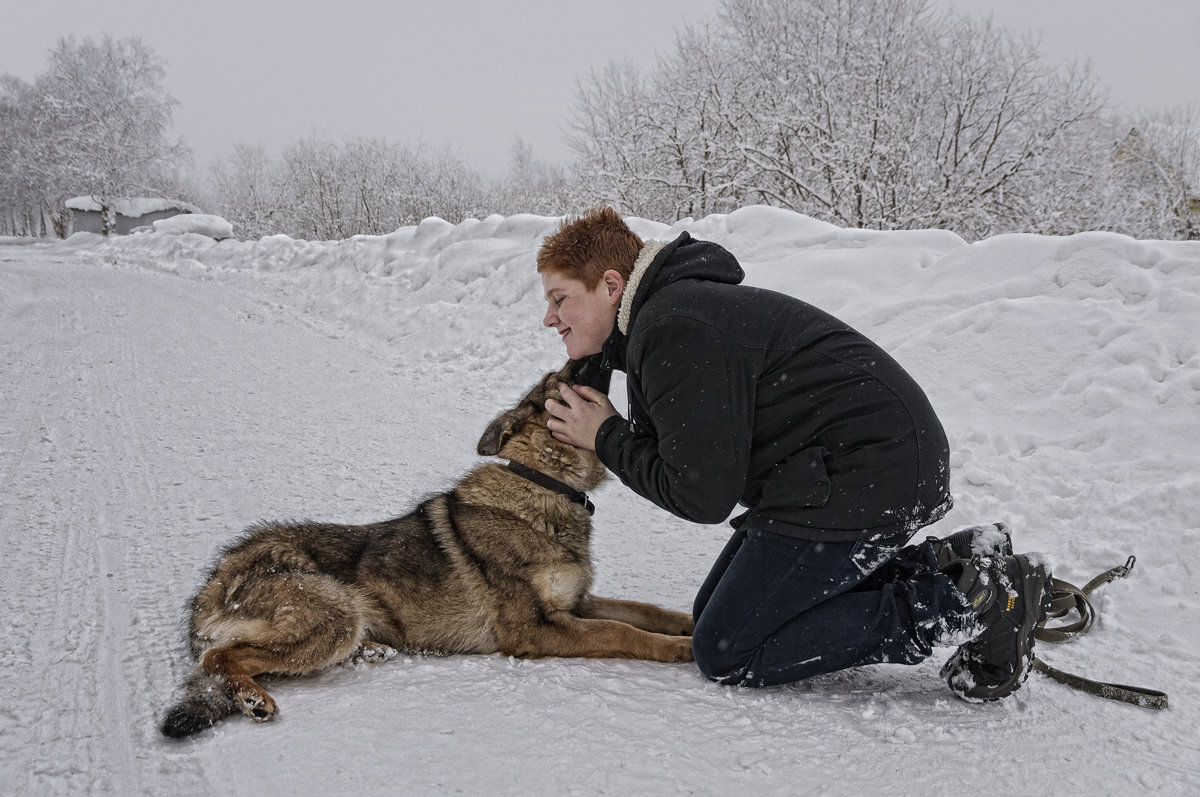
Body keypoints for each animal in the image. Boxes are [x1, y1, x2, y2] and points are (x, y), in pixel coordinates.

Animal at [164, 357, 700, 739]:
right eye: (555, 383)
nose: (587, 352)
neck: (542, 484)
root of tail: (214, 584)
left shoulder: (577, 602)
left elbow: (645, 611)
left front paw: (689, 624)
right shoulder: (536, 630)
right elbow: (624, 632)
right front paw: (682, 649)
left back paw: (373, 650)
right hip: (333, 615)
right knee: (219, 659)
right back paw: (255, 699)